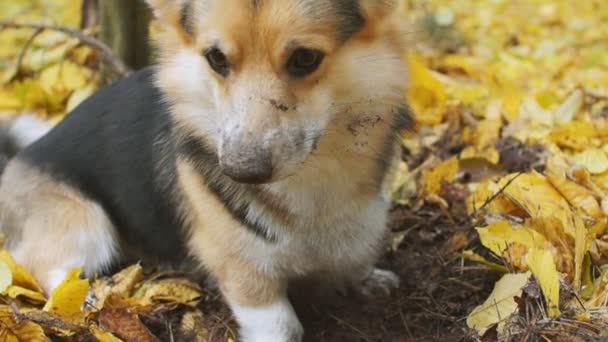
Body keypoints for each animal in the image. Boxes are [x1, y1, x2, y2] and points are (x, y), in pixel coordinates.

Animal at [0, 1, 414, 340]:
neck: (315, 179)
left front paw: (365, 280)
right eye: (216, 58)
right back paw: (81, 298)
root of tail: (16, 158)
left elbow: (354, 258)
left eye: (305, 58)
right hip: (85, 223)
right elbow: (279, 323)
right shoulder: (243, 271)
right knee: (45, 263)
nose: (239, 171)